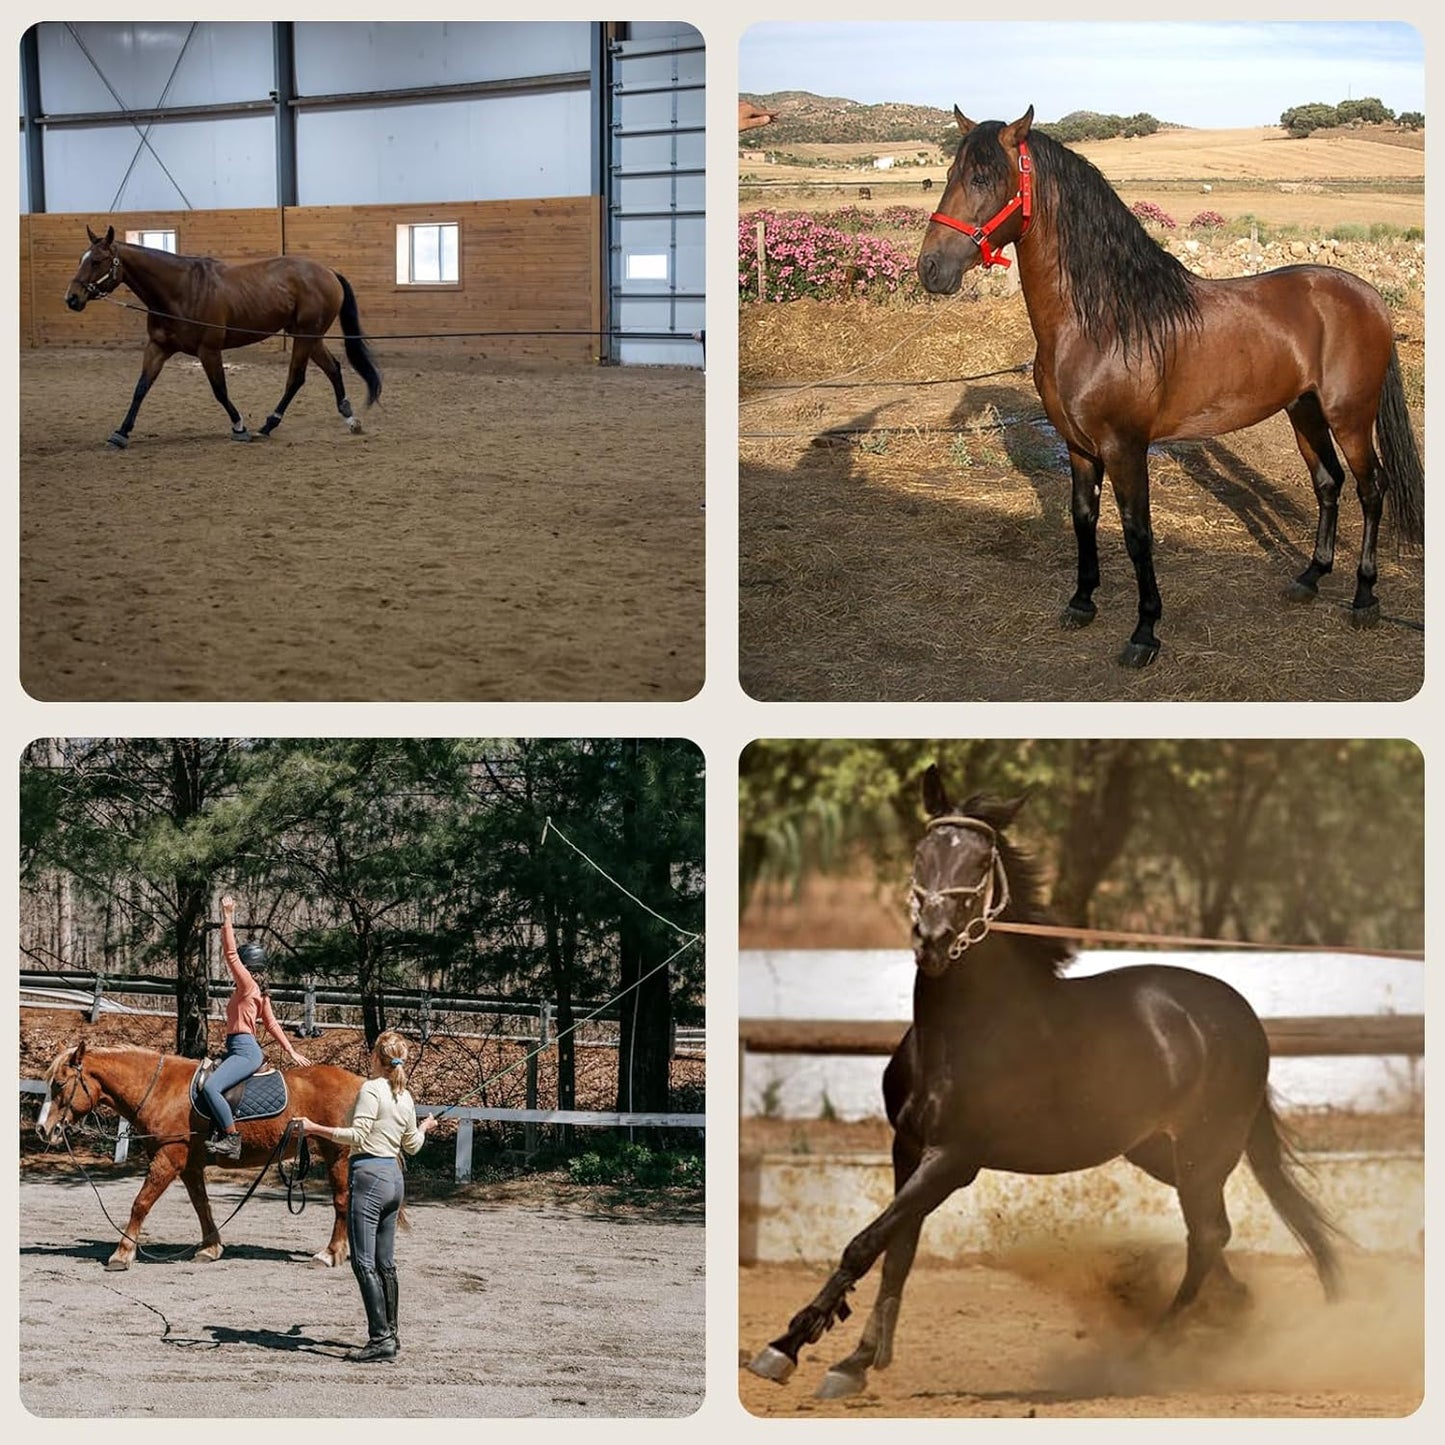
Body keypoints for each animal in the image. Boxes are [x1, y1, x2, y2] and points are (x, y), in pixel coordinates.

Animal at [37, 1040, 364, 1272]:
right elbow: (201, 1205)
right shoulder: (189, 1165)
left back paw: (330, 1253)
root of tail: (359, 1082)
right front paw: (210, 1248)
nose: (43, 1129)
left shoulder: (168, 1159)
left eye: (60, 1084)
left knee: (341, 1201)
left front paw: (123, 1253)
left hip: (336, 1152)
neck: (162, 1090)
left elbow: (140, 1203)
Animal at [64, 225, 383, 449]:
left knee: (296, 378)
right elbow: (141, 388)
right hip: (308, 335)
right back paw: (349, 419)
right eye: (82, 258)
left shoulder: (209, 350)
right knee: (332, 369)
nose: (72, 298)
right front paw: (121, 433)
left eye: (98, 261)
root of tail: (328, 271)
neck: (181, 290)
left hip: (305, 335)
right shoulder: (158, 347)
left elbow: (220, 390)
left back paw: (268, 425)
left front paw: (239, 427)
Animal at [747, 764, 1341, 1400]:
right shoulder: (907, 1147)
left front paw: (785, 1347)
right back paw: (1231, 1317)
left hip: (1204, 1152)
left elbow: (866, 1243)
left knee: (1206, 1236)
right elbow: (897, 1250)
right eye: (922, 852)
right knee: (1214, 1236)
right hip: (1157, 1152)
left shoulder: (953, 1159)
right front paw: (853, 1362)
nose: (932, 939)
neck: (962, 1034)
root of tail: (1240, 1014)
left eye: (981, 862)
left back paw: (1149, 1353)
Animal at [917, 107, 1424, 668]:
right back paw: (1310, 577)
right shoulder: (1078, 446)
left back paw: (1364, 598)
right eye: (949, 175)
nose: (930, 269)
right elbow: (1083, 518)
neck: (1102, 321)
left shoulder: (1125, 446)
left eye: (983, 178)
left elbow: (1138, 533)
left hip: (1350, 416)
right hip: (1304, 412)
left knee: (1371, 488)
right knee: (1328, 484)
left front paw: (1145, 631)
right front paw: (1082, 602)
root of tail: (1369, 295)